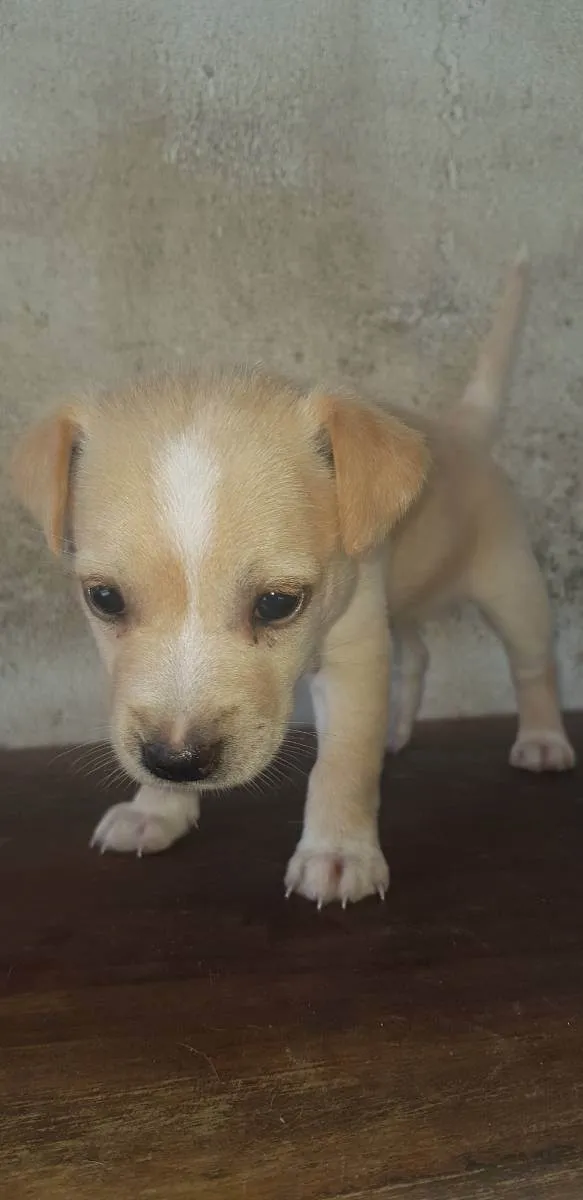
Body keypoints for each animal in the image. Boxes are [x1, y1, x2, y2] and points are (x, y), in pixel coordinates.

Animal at [12, 255, 573, 907]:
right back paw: (396, 729)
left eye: (278, 605)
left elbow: (343, 764)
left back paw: (543, 739)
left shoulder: (353, 654)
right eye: (104, 598)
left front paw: (338, 851)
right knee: (416, 653)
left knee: (533, 666)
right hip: (405, 609)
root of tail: (464, 428)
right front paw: (157, 809)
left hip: (514, 591)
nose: (177, 762)